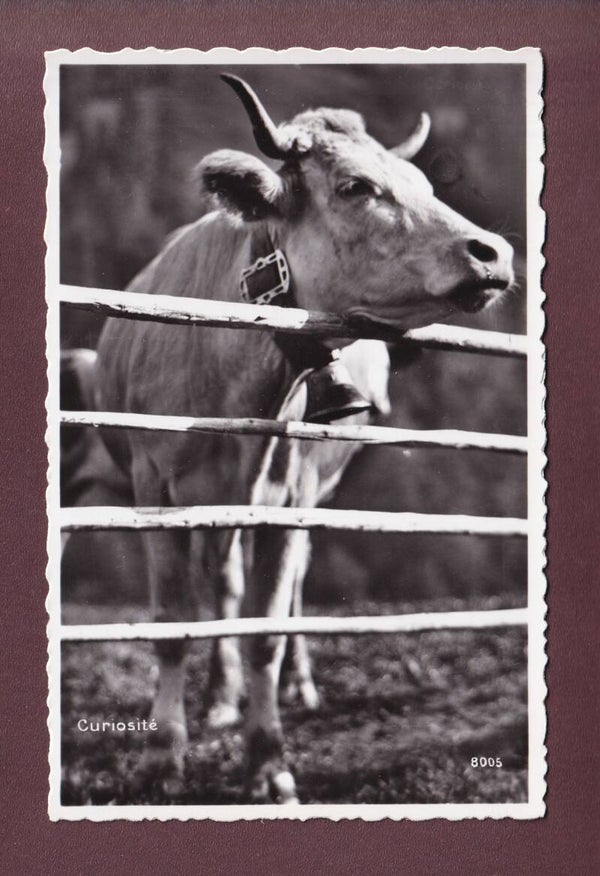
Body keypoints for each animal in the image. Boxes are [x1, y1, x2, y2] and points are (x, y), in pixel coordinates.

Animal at [92, 74, 514, 803]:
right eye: (354, 187)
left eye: (423, 184)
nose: (492, 251)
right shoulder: (158, 492)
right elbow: (174, 624)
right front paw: (163, 754)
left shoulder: (284, 501)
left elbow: (266, 630)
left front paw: (267, 761)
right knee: (224, 585)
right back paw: (219, 699)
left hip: (312, 495)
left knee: (285, 593)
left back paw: (296, 685)